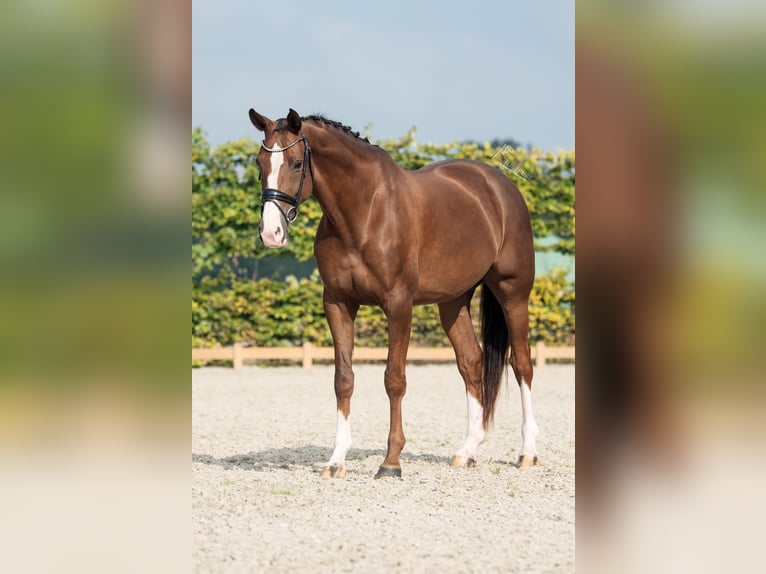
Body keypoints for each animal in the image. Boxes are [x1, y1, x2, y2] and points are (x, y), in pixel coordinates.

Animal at [249, 109, 536, 482]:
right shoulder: (337, 304)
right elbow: (343, 379)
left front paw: (391, 461)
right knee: (471, 362)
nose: (271, 233)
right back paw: (467, 451)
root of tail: (500, 185)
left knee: (522, 364)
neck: (364, 213)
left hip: (513, 293)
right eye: (259, 164)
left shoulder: (398, 306)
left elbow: (394, 379)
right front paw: (336, 460)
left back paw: (527, 452)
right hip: (453, 301)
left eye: (297, 163)